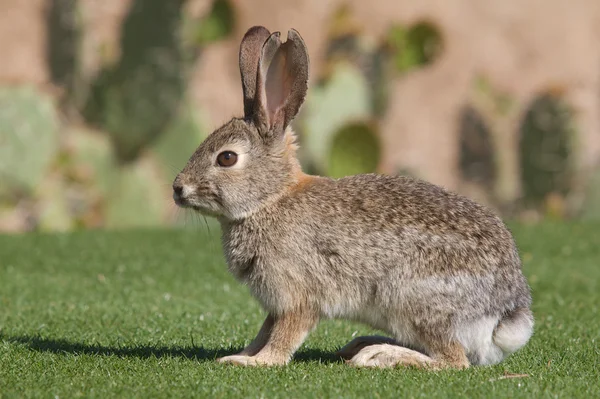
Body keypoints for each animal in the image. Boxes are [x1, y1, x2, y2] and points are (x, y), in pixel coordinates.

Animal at [173, 24, 536, 368]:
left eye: (226, 158)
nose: (178, 188)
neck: (270, 198)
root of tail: (504, 315)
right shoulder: (276, 303)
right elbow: (264, 330)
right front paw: (242, 354)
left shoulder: (298, 294)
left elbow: (284, 335)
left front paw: (256, 362)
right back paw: (362, 344)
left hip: (411, 298)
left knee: (453, 360)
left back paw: (380, 357)